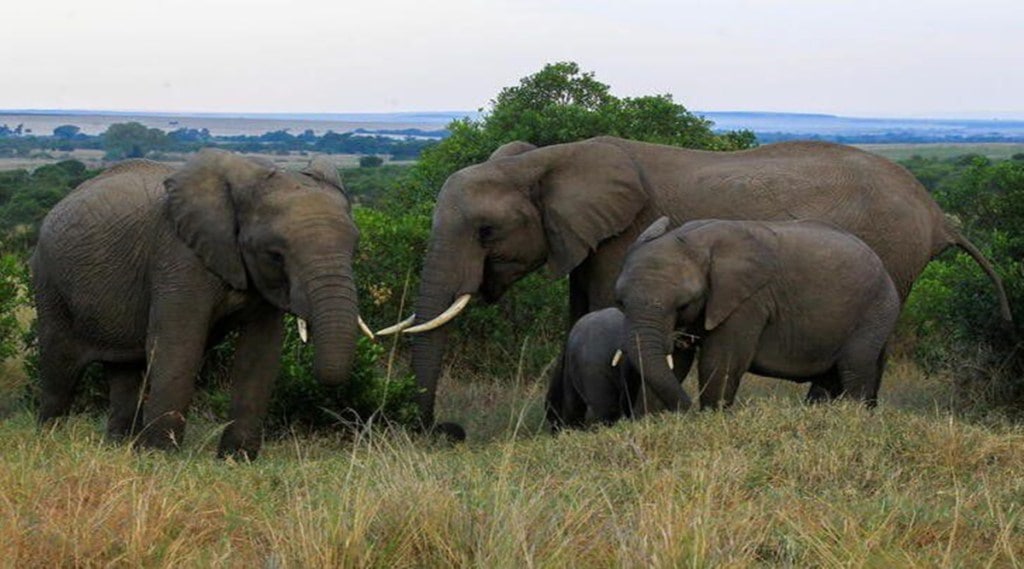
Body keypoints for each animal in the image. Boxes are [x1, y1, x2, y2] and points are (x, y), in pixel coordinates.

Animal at [32, 149, 369, 459]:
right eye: (275, 254)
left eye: (354, 247)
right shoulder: (179, 254)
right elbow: (179, 344)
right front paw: (159, 457)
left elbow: (259, 353)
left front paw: (236, 460)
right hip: (49, 281)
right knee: (60, 366)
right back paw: (49, 439)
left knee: (125, 370)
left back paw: (119, 447)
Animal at [615, 217, 901, 411]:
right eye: (620, 304)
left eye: (683, 303)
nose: (688, 411)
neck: (695, 239)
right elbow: (676, 361)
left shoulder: (749, 301)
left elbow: (721, 362)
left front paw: (711, 418)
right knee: (832, 377)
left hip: (876, 310)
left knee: (854, 368)